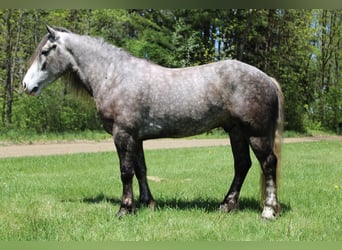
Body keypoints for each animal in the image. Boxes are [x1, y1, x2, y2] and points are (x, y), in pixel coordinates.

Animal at [22, 25, 284, 219]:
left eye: (44, 51)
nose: (26, 85)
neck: (113, 75)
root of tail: (267, 78)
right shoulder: (135, 137)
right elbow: (141, 169)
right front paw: (147, 203)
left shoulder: (123, 134)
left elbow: (126, 172)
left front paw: (124, 209)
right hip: (236, 132)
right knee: (242, 165)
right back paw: (227, 205)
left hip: (256, 134)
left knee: (268, 164)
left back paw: (268, 211)